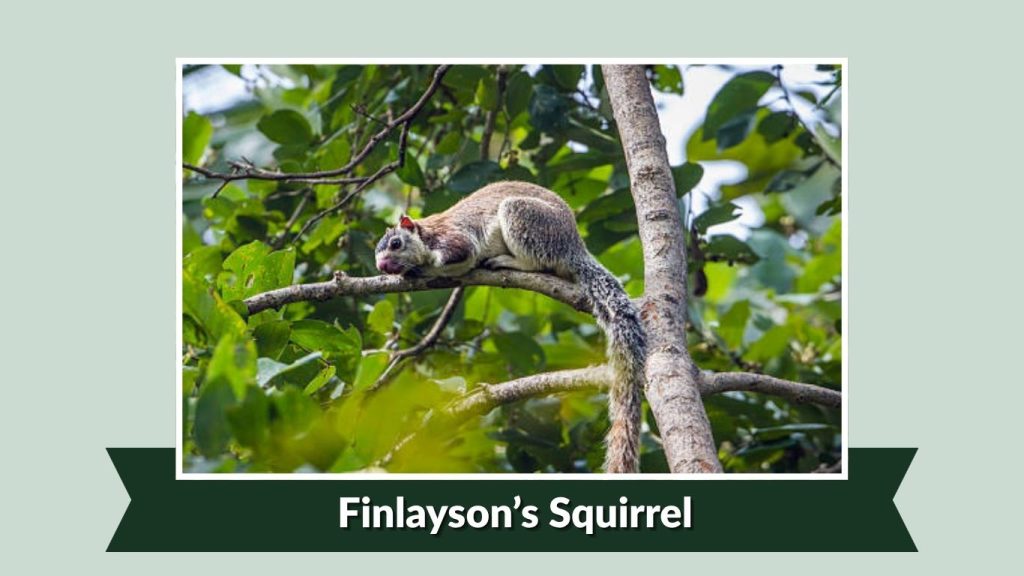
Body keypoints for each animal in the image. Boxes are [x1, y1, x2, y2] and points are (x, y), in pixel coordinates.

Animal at [374, 181, 648, 473]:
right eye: (377, 253)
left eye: (396, 243)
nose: (382, 265)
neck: (426, 237)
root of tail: (574, 247)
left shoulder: (453, 239)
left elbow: (458, 255)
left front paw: (424, 270)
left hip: (527, 221)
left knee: (538, 261)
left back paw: (508, 261)